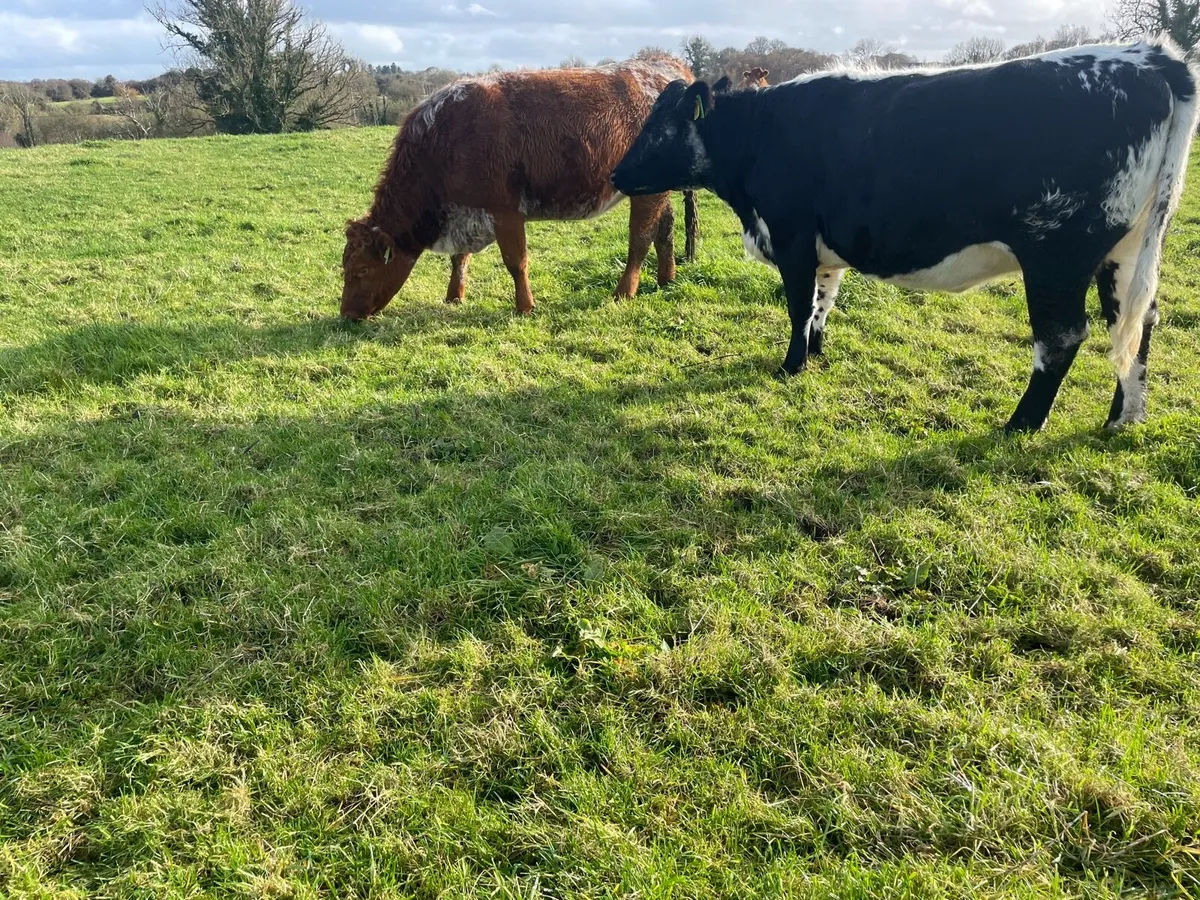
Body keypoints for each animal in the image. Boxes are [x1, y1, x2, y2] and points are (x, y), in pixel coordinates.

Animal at [341, 58, 698, 320]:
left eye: (362, 269)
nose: (346, 315)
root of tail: (662, 62)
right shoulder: (466, 212)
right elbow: (460, 259)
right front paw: (454, 297)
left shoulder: (505, 211)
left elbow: (516, 261)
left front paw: (525, 306)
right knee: (665, 229)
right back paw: (667, 279)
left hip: (645, 192)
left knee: (640, 237)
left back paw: (623, 292)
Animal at [611, 38, 1200, 432]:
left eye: (658, 129)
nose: (616, 175)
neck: (762, 135)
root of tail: (1149, 56)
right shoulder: (823, 248)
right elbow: (822, 303)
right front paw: (816, 355)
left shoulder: (793, 235)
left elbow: (799, 306)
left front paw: (790, 366)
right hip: (1125, 251)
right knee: (1137, 323)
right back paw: (1123, 418)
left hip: (1057, 253)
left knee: (1062, 338)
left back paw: (1022, 424)